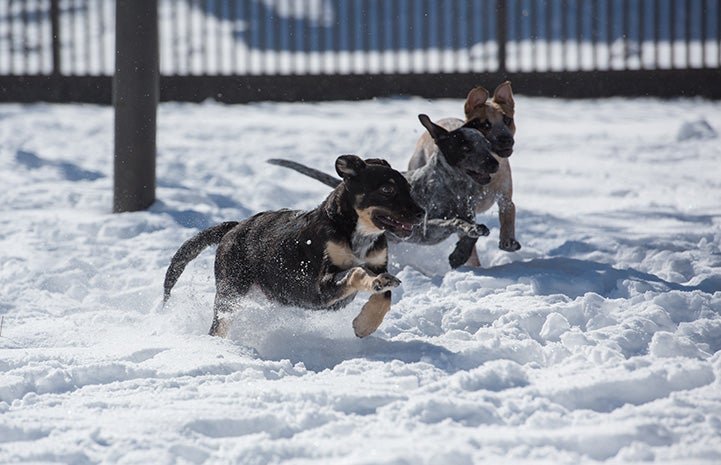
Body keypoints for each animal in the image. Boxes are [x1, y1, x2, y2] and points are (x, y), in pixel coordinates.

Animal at [162, 155, 422, 338]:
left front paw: (364, 325)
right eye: (387, 189)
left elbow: (385, 296)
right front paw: (368, 309)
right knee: (219, 326)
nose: (422, 213)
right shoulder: (320, 286)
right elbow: (356, 272)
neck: (354, 230)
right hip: (231, 291)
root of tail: (234, 228)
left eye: (409, 189)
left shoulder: (378, 263)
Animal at [268, 114, 498, 268]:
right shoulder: (424, 230)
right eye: (466, 147)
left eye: (487, 145)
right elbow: (454, 222)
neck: (455, 190)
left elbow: (471, 233)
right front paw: (462, 243)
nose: (494, 163)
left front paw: (462, 250)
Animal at [404, 81, 516, 266]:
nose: (506, 139)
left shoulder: (503, 198)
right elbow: (460, 227)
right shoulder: (428, 227)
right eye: (465, 148)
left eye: (507, 120)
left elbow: (506, 214)